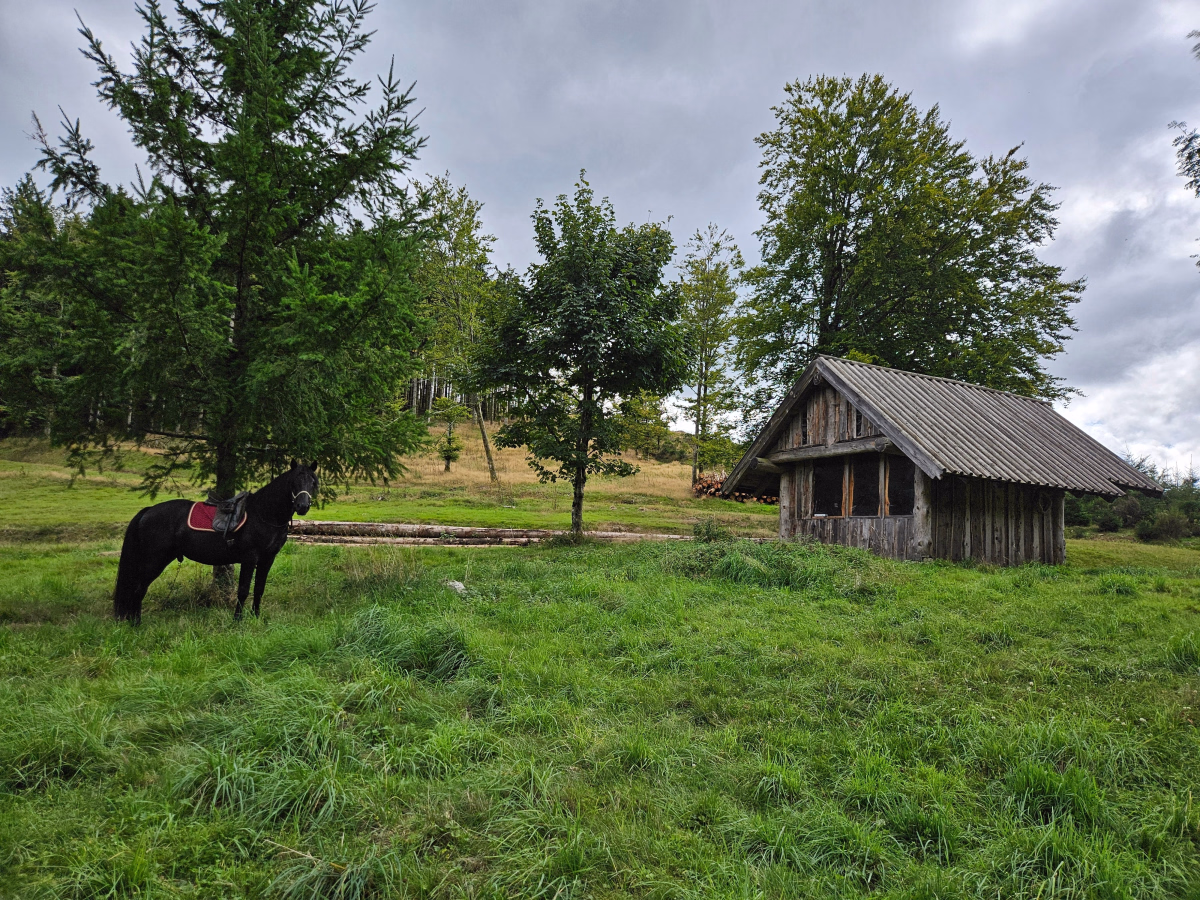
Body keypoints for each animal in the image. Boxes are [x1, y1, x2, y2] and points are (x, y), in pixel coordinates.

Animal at [113, 461, 319, 624]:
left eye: (312, 482)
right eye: (294, 482)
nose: (302, 506)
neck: (264, 514)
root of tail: (148, 511)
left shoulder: (268, 558)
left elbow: (259, 589)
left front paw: (256, 616)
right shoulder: (250, 558)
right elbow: (243, 590)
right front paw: (237, 620)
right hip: (154, 561)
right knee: (139, 588)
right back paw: (136, 624)